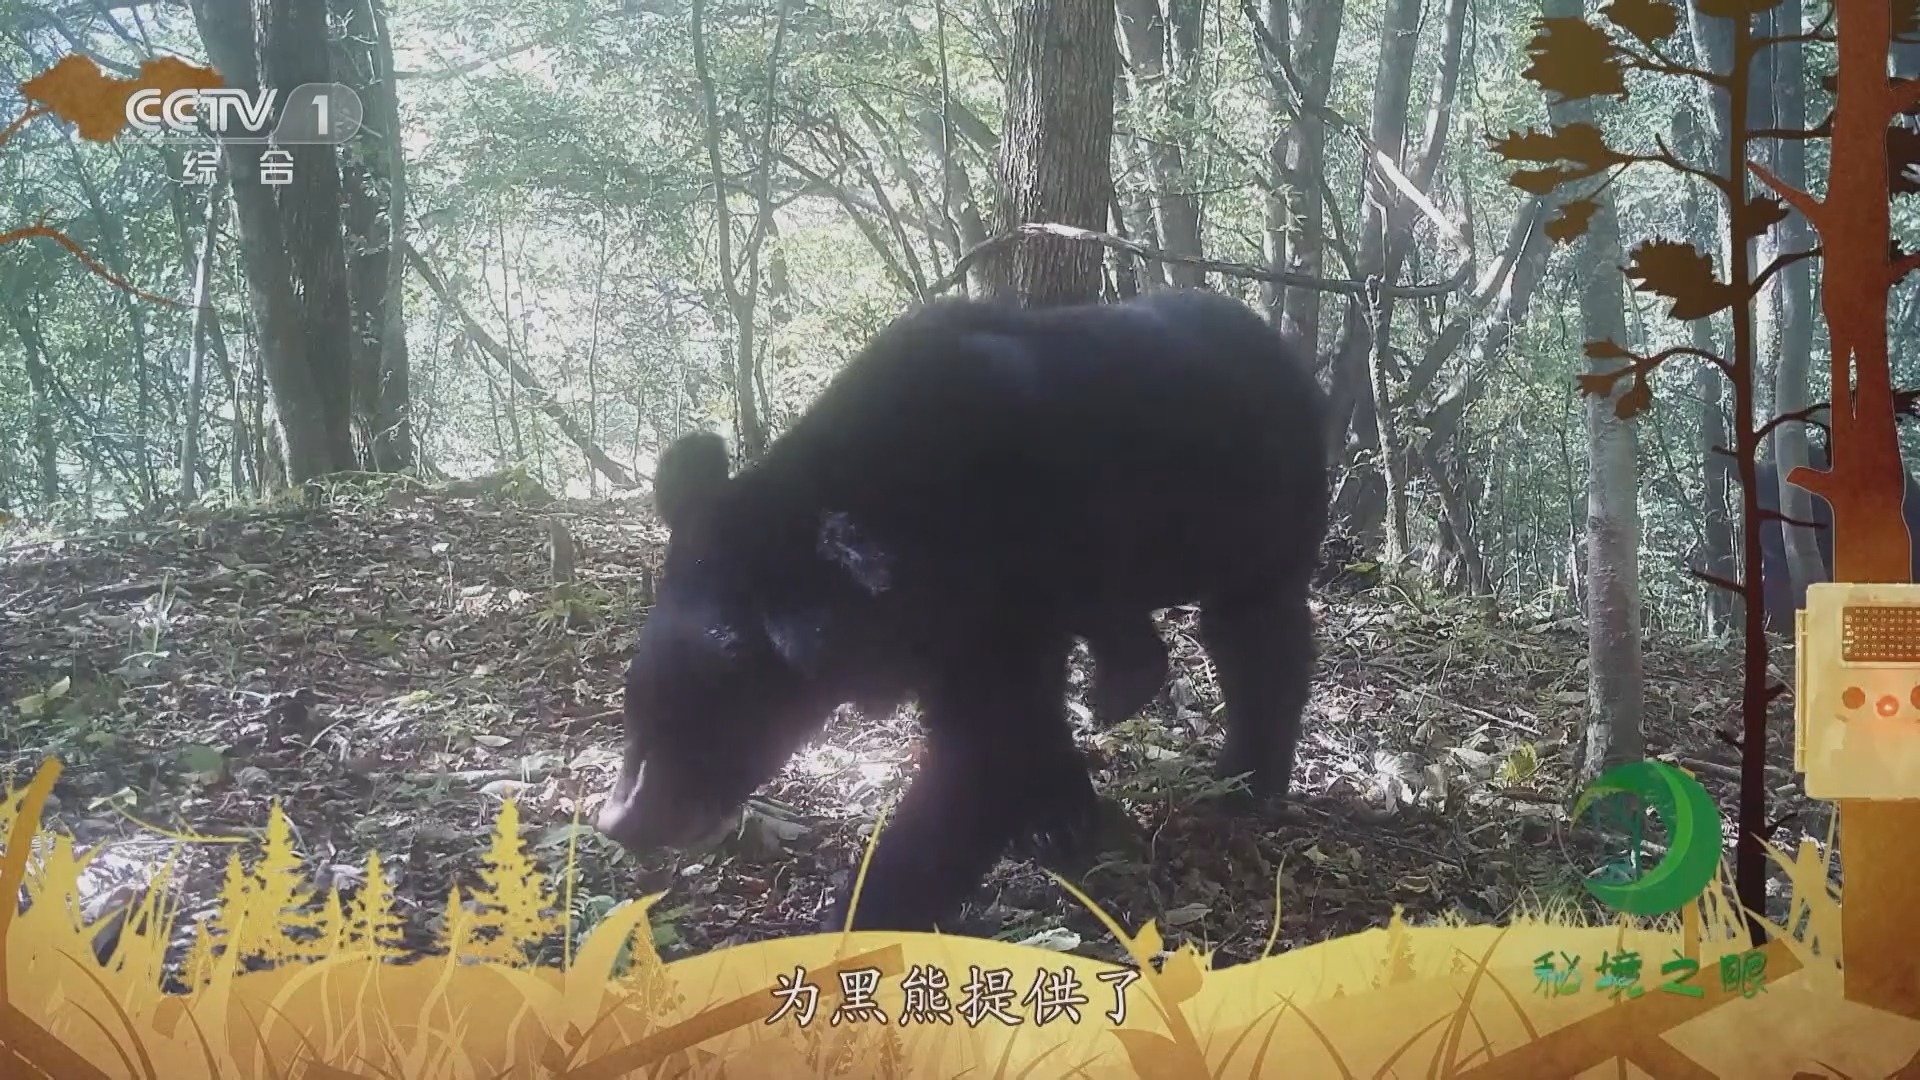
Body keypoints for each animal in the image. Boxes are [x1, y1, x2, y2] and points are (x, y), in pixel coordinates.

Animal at [595, 288, 1331, 934]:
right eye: (636, 688)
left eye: (724, 686)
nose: (622, 818)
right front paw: (1058, 815)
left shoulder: (1002, 584)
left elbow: (981, 755)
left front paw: (859, 913)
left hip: (1261, 513)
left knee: (1256, 633)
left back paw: (1246, 778)